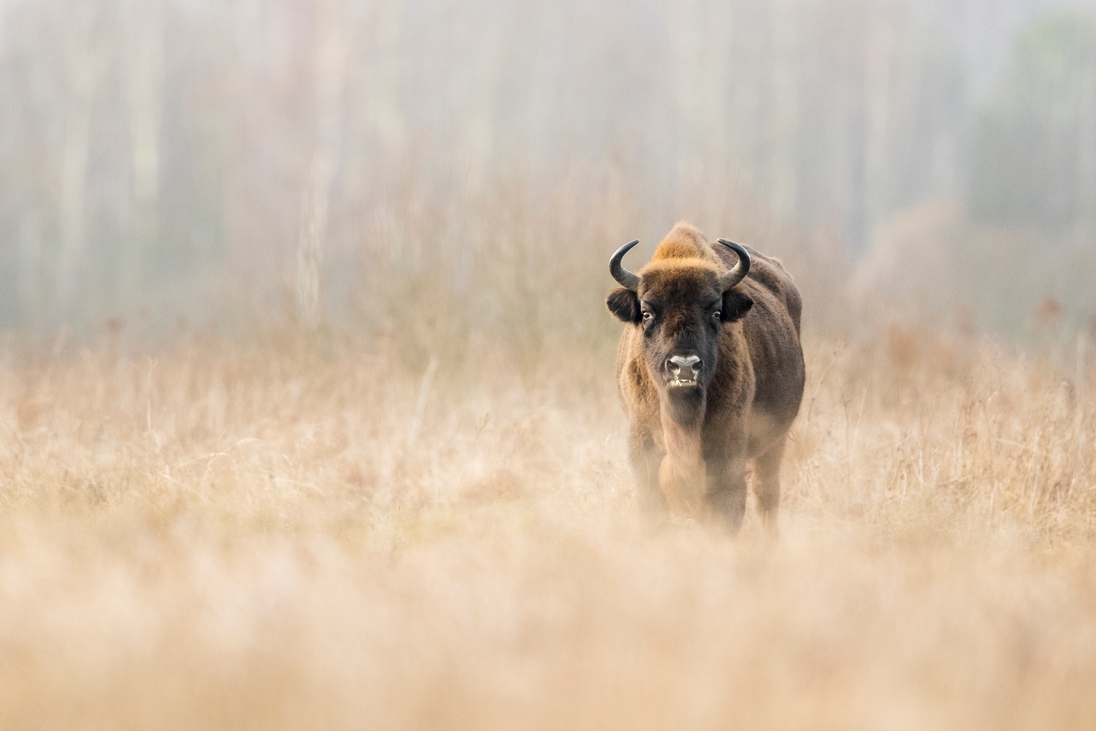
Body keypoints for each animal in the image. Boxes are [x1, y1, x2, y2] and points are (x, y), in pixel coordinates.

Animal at [609, 221, 806, 532]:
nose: (684, 366)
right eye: (646, 313)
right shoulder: (642, 444)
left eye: (715, 312)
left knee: (767, 494)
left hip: (775, 441)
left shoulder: (728, 450)